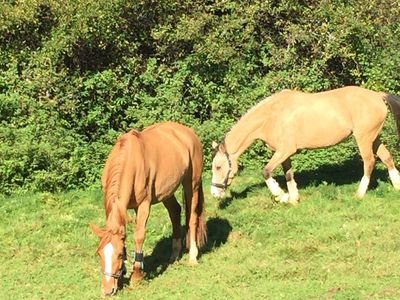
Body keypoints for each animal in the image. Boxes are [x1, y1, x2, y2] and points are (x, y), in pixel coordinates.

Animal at [90, 122, 206, 296]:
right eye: (99, 252)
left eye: (119, 254)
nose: (107, 290)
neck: (129, 160)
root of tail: (188, 133)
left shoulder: (143, 205)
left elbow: (139, 236)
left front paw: (137, 277)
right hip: (167, 191)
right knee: (175, 212)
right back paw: (174, 256)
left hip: (192, 185)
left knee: (192, 218)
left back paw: (192, 257)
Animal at [212, 85, 400, 205]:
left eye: (218, 167)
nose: (214, 193)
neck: (271, 116)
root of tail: (377, 95)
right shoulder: (284, 153)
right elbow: (288, 175)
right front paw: (293, 199)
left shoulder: (285, 150)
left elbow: (266, 172)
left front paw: (281, 196)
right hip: (373, 138)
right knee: (386, 157)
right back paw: (397, 186)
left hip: (363, 138)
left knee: (369, 162)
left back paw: (359, 194)